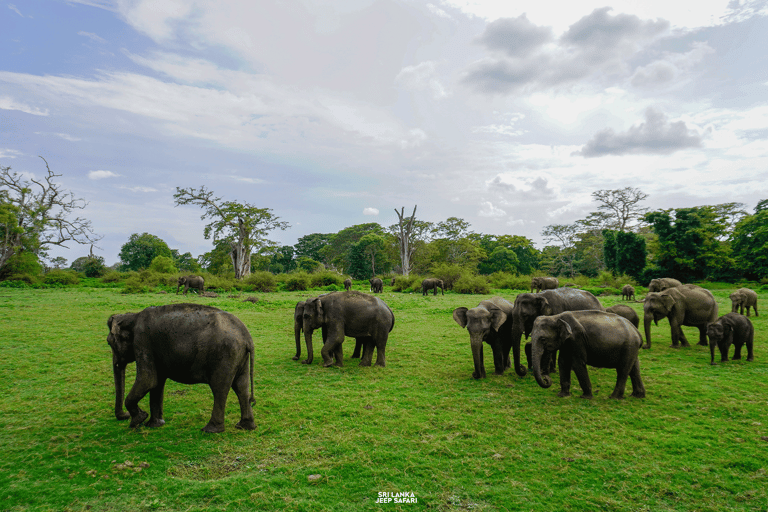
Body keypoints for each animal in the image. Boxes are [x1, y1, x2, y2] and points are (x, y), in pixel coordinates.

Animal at [106, 304, 256, 432]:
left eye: (109, 342)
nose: (125, 416)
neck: (132, 316)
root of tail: (247, 337)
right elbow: (157, 383)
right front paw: (154, 425)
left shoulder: (142, 341)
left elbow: (148, 380)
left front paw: (137, 421)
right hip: (238, 356)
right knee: (241, 386)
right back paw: (245, 426)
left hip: (225, 355)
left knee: (219, 388)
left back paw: (210, 430)